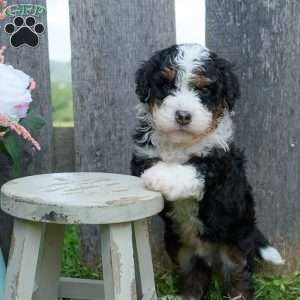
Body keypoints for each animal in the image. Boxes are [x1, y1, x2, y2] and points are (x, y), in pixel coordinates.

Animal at [131, 43, 284, 298]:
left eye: (203, 90)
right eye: (166, 85)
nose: (183, 116)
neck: (182, 144)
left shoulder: (220, 169)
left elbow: (192, 169)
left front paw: (161, 176)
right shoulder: (142, 156)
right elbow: (150, 164)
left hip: (236, 242)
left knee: (240, 276)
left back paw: (238, 296)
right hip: (181, 248)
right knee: (194, 276)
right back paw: (183, 296)